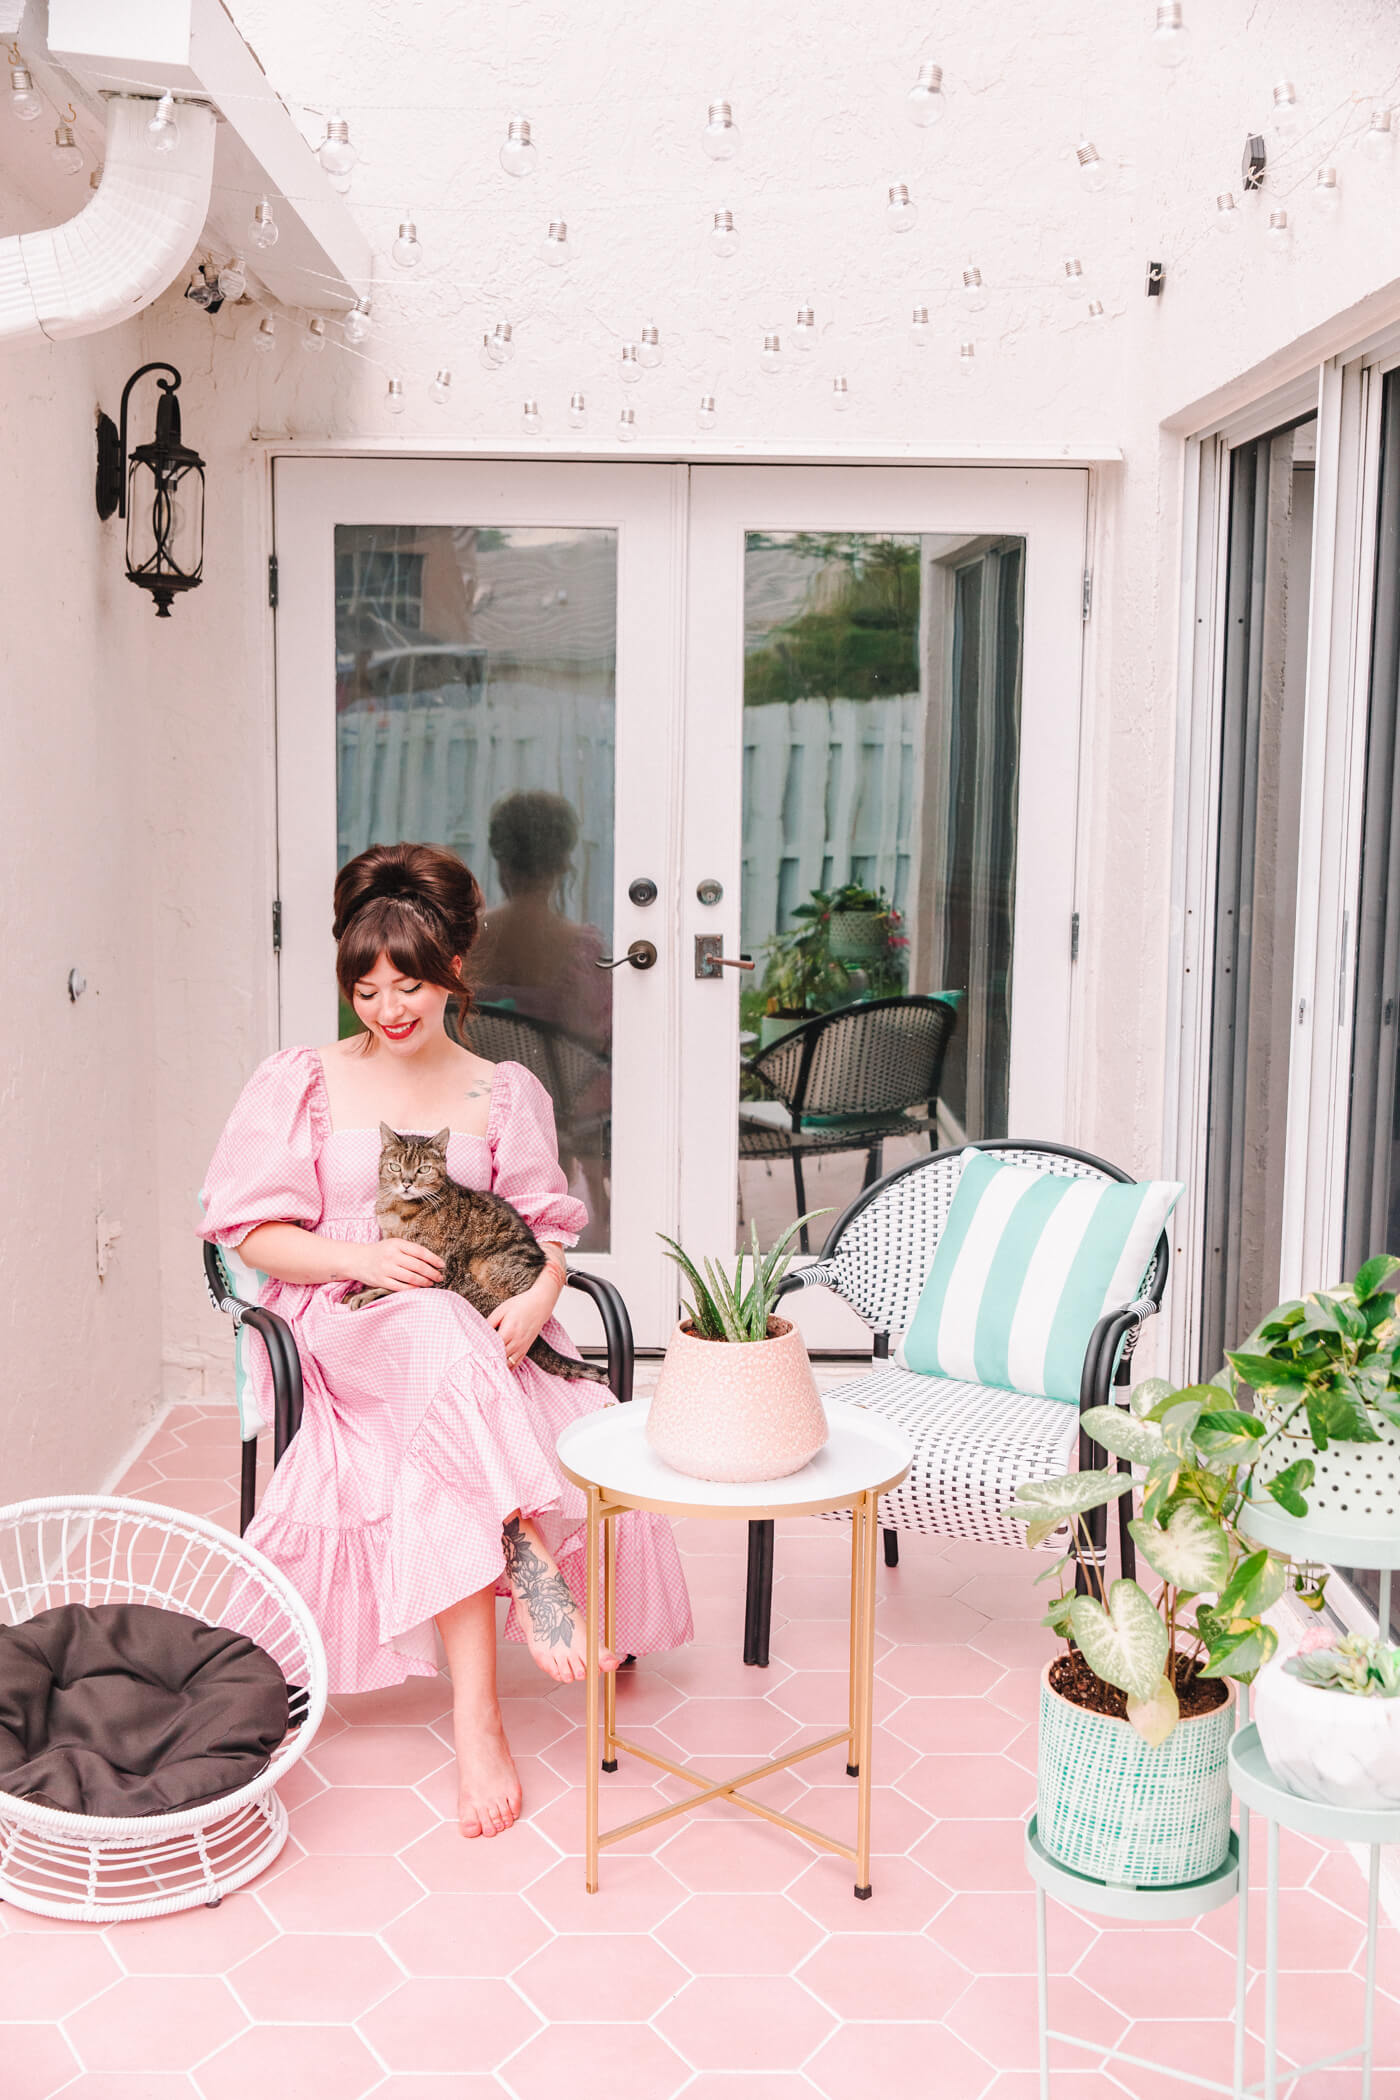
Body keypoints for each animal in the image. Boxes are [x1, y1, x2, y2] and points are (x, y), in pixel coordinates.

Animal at [344, 1125, 608, 1385]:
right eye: (395, 1167)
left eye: (423, 1169)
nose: (407, 1183)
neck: (397, 1208)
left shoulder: (435, 1268)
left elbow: (398, 1286)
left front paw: (364, 1295)